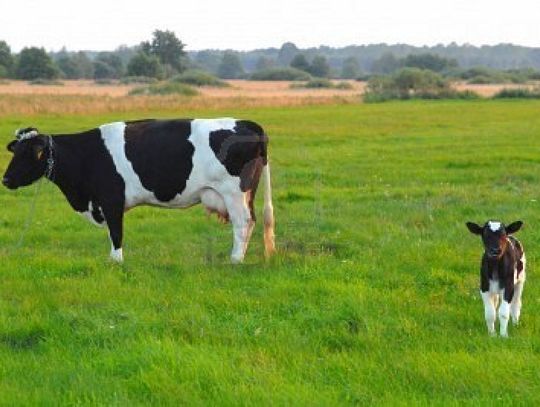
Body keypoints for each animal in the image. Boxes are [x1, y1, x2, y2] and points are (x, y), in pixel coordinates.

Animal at [3, 118, 274, 264]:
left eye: (28, 154)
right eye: (15, 152)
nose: (5, 179)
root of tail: (248, 124)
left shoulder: (111, 200)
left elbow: (116, 233)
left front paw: (115, 261)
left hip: (234, 192)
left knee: (243, 222)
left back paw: (235, 260)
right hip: (245, 193)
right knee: (251, 221)